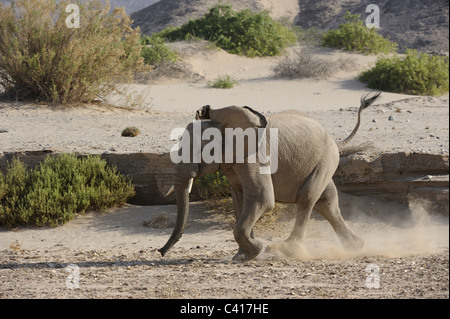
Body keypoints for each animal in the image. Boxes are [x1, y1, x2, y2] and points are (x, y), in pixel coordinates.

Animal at [160, 92, 382, 262]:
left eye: (202, 149)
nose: (160, 252)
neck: (224, 120)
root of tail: (336, 140)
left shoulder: (254, 157)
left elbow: (262, 198)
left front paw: (256, 250)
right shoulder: (233, 163)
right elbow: (240, 201)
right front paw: (243, 256)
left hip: (327, 159)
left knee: (307, 198)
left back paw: (285, 249)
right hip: (323, 162)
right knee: (326, 203)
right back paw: (356, 246)